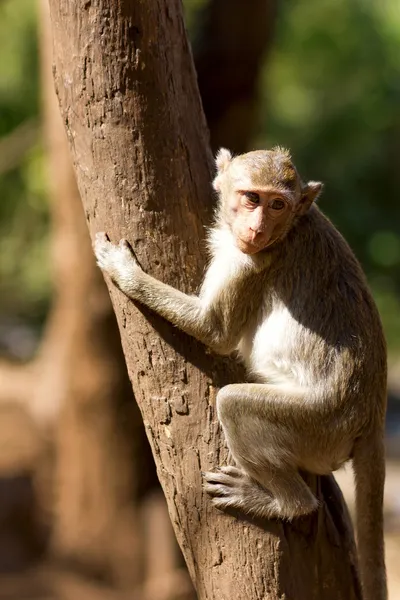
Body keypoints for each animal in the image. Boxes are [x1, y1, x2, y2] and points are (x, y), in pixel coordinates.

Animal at [94, 146, 388, 600]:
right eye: (252, 198)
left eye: (277, 204)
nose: (257, 226)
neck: (291, 228)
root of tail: (372, 416)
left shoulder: (251, 261)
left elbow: (214, 330)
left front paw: (125, 272)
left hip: (321, 426)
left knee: (234, 403)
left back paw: (284, 503)